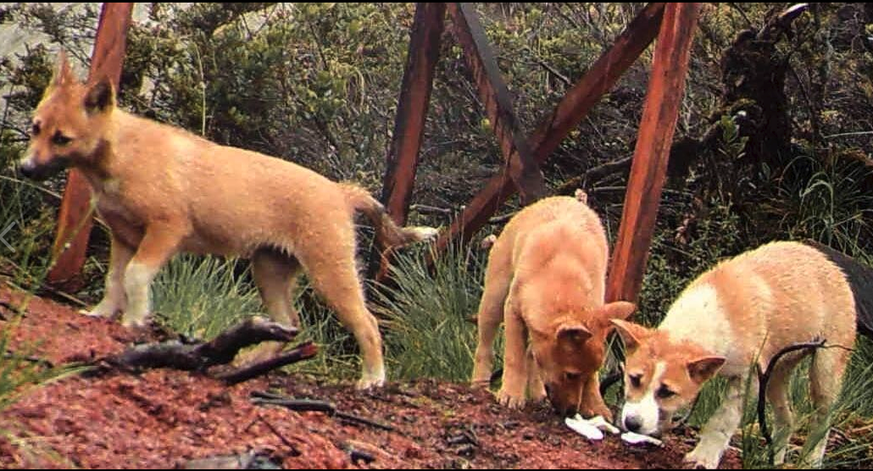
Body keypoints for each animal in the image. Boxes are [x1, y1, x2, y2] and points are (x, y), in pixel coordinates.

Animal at [22, 52, 436, 390]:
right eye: (35, 128)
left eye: (62, 139)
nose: (23, 169)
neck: (123, 154)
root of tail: (341, 191)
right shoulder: (123, 238)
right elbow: (114, 281)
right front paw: (101, 315)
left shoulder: (165, 231)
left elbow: (136, 277)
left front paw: (135, 322)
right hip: (269, 272)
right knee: (287, 325)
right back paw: (247, 362)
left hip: (330, 275)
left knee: (367, 325)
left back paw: (372, 378)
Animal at [470, 195, 632, 420]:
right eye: (570, 375)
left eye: (585, 374)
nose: (571, 412)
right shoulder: (513, 311)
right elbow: (514, 357)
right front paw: (511, 394)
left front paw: (596, 406)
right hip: (494, 300)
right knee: (485, 348)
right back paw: (480, 385)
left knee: (531, 355)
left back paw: (538, 394)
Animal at [612, 242, 860, 470]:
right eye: (634, 379)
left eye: (667, 392)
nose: (631, 423)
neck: (707, 317)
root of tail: (828, 263)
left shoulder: (746, 378)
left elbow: (723, 419)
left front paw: (704, 456)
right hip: (775, 373)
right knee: (787, 418)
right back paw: (773, 460)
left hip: (824, 372)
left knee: (822, 421)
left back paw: (810, 461)